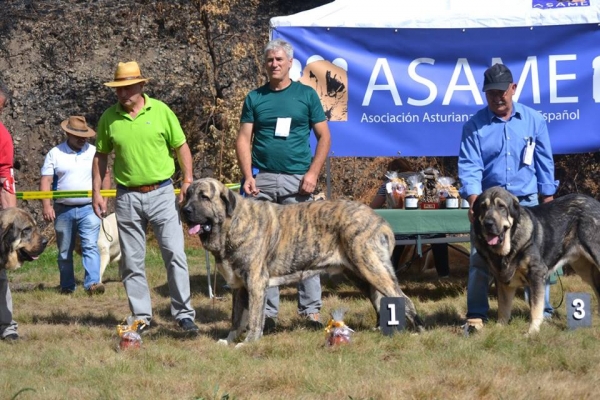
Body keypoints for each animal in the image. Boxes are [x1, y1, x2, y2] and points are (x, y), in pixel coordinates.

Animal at [180, 177, 424, 344]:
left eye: (204, 197)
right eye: (188, 195)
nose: (185, 210)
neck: (233, 222)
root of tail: (379, 219)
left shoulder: (255, 283)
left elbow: (254, 319)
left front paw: (248, 343)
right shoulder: (239, 287)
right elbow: (236, 318)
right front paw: (228, 341)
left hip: (372, 269)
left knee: (404, 299)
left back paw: (417, 332)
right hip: (361, 274)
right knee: (378, 298)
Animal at [472, 187, 600, 334]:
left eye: (501, 207)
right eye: (483, 207)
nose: (488, 223)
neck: (511, 242)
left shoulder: (536, 274)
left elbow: (535, 306)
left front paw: (532, 331)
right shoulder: (503, 280)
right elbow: (503, 307)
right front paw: (500, 327)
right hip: (584, 269)